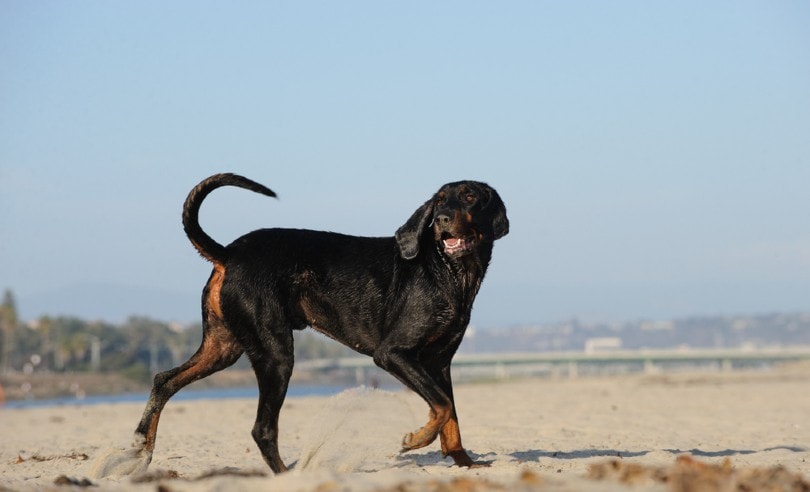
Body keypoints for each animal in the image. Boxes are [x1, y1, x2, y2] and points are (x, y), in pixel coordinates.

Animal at [130, 173, 508, 472]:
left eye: (470, 196)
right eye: (439, 201)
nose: (442, 219)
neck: (449, 271)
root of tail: (229, 253)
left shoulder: (440, 363)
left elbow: (451, 414)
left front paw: (465, 462)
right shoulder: (394, 354)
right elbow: (442, 406)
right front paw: (416, 439)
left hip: (223, 347)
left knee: (164, 380)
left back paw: (139, 451)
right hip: (275, 354)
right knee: (262, 429)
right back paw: (285, 476)